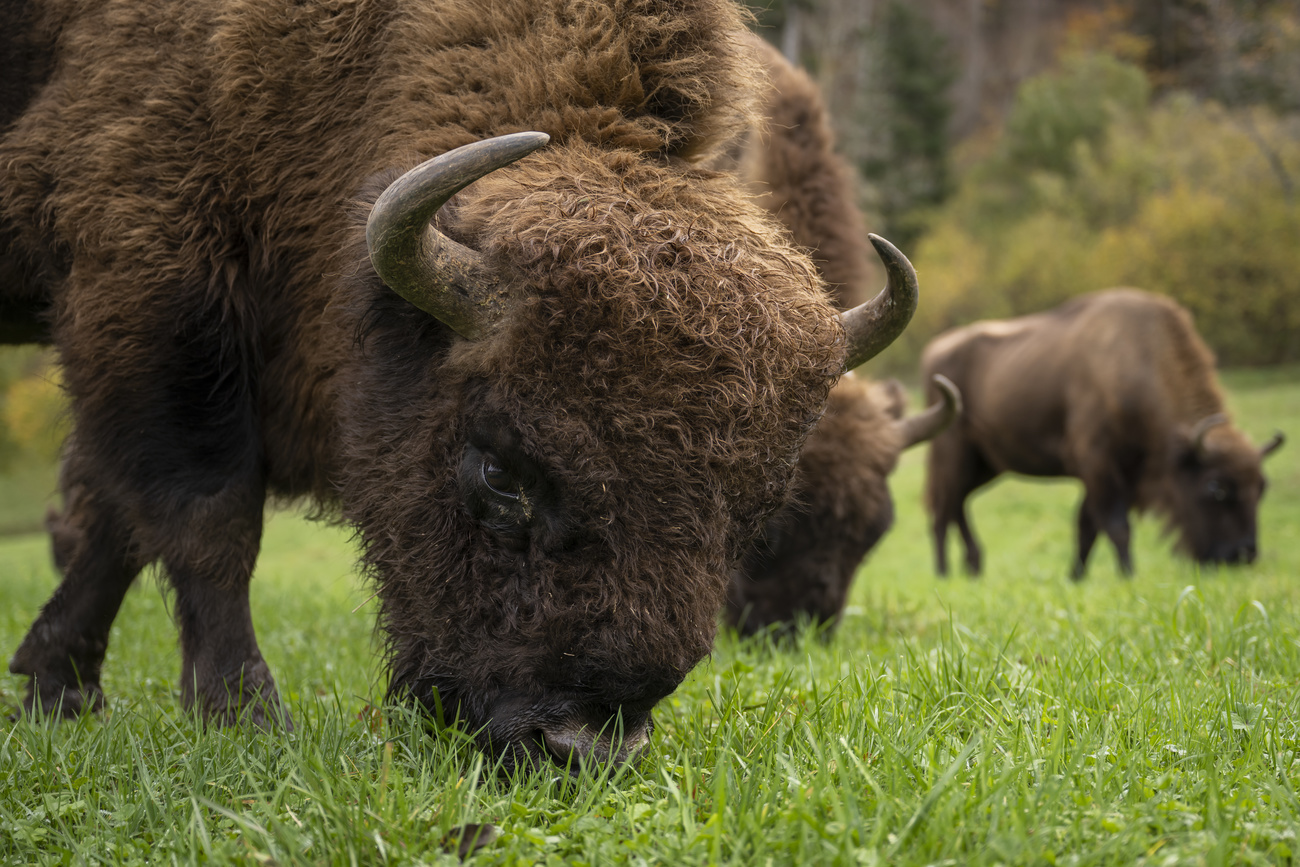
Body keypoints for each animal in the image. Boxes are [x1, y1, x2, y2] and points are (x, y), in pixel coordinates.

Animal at [2, 0, 925, 774]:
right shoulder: (152, 276)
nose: (579, 746)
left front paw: (55, 685)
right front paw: (243, 716)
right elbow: (207, 516)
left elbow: (122, 523)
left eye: (756, 511)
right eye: (499, 472)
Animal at [925, 288, 1279, 579]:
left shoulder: (1122, 473)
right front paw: (1128, 574)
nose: (1243, 553)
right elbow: (1115, 525)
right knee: (943, 509)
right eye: (1215, 487)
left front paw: (1076, 576)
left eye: (1262, 487)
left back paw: (973, 565)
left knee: (957, 504)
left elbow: (1087, 525)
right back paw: (943, 572)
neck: (1135, 362)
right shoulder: (1098, 463)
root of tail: (935, 349)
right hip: (954, 453)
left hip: (987, 465)